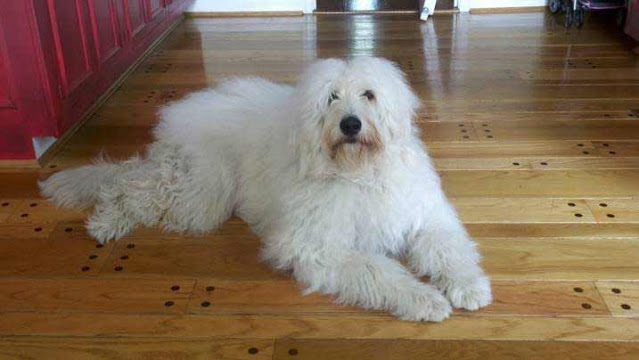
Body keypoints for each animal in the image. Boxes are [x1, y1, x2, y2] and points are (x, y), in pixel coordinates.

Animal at [40, 56, 492, 320]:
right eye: (331, 97)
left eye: (369, 94)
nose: (351, 124)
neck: (358, 172)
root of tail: (181, 113)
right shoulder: (319, 246)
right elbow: (380, 272)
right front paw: (425, 300)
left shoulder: (425, 217)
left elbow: (449, 249)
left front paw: (469, 287)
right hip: (200, 195)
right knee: (131, 184)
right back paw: (106, 219)